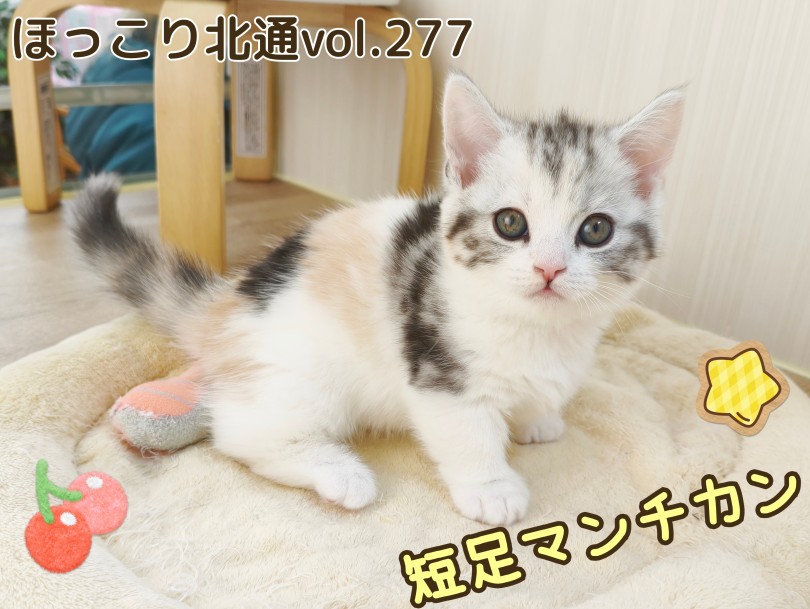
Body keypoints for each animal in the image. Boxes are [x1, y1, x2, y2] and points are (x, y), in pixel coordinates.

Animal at [72, 73, 684, 525]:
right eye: (511, 224)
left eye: (596, 230)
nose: (549, 269)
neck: (537, 330)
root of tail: (227, 305)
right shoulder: (436, 368)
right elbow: (468, 433)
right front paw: (492, 488)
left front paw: (537, 418)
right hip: (301, 369)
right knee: (243, 434)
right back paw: (339, 473)